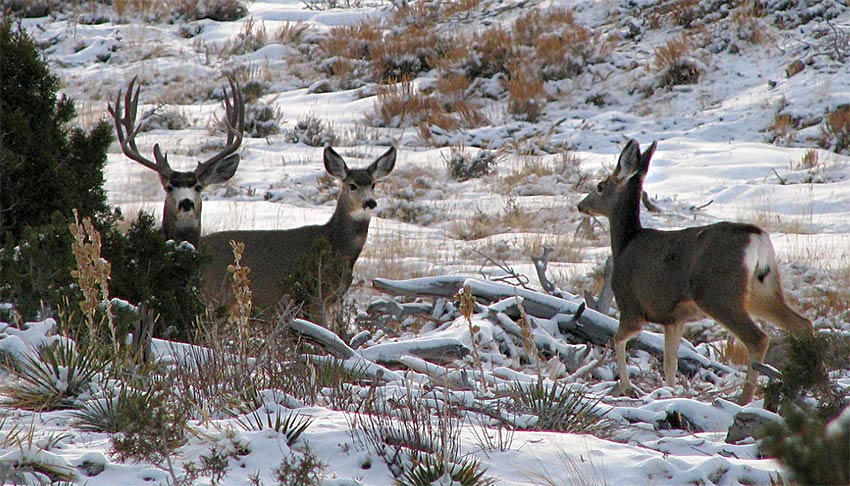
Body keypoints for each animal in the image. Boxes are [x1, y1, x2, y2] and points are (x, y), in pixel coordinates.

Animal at [576, 139, 808, 404]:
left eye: (600, 186)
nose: (580, 205)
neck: (625, 242)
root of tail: (758, 238)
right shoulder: (674, 318)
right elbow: (670, 361)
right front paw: (670, 393)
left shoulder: (631, 306)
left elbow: (618, 339)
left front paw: (627, 387)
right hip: (761, 290)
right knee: (802, 324)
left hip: (719, 294)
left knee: (758, 338)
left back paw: (743, 400)